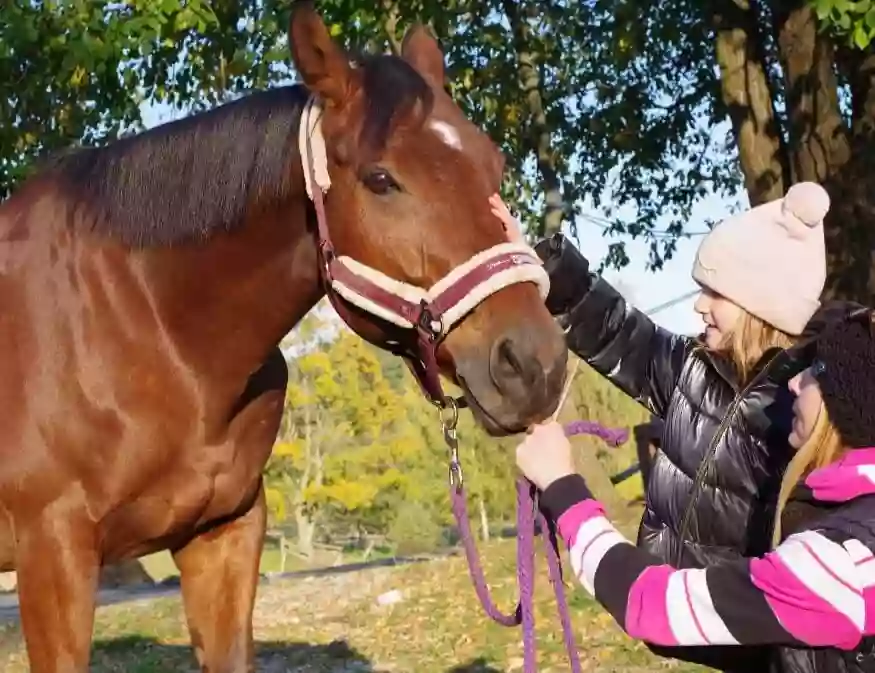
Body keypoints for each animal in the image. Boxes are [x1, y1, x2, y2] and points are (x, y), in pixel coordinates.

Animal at [0, 2, 568, 668]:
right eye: (380, 179)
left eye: (494, 165)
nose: (534, 364)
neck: (147, 325)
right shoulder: (54, 555)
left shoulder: (225, 533)